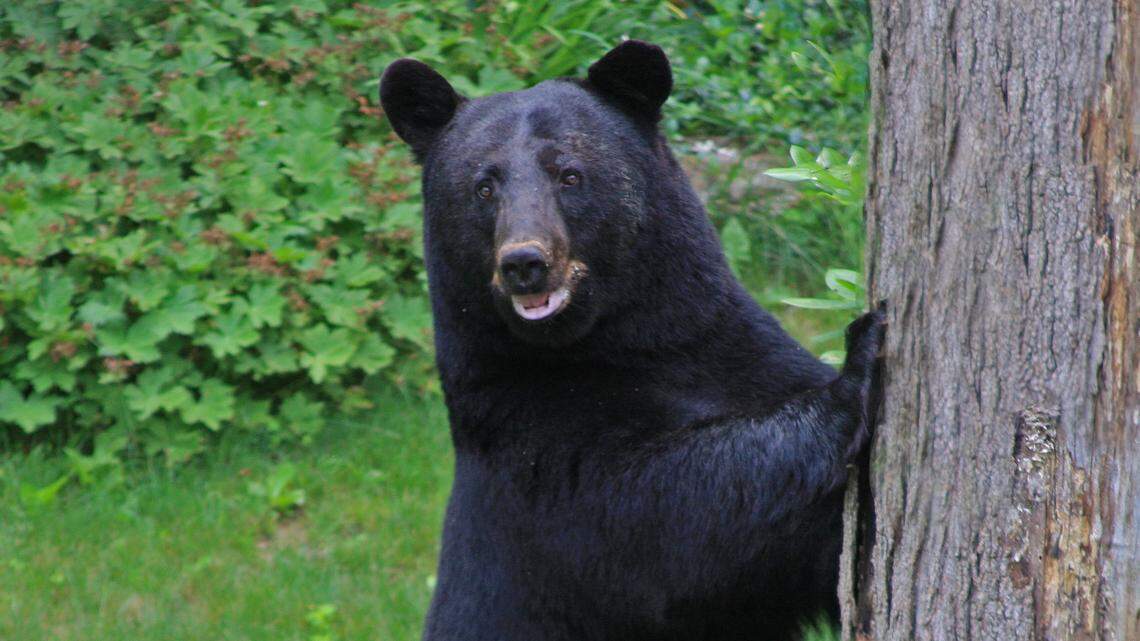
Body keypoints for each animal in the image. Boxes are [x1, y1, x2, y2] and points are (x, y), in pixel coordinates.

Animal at [379, 40, 885, 641]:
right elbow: (671, 519)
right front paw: (858, 366)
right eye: (483, 187)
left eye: (569, 175)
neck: (619, 342)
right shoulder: (528, 446)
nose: (524, 262)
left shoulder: (739, 352)